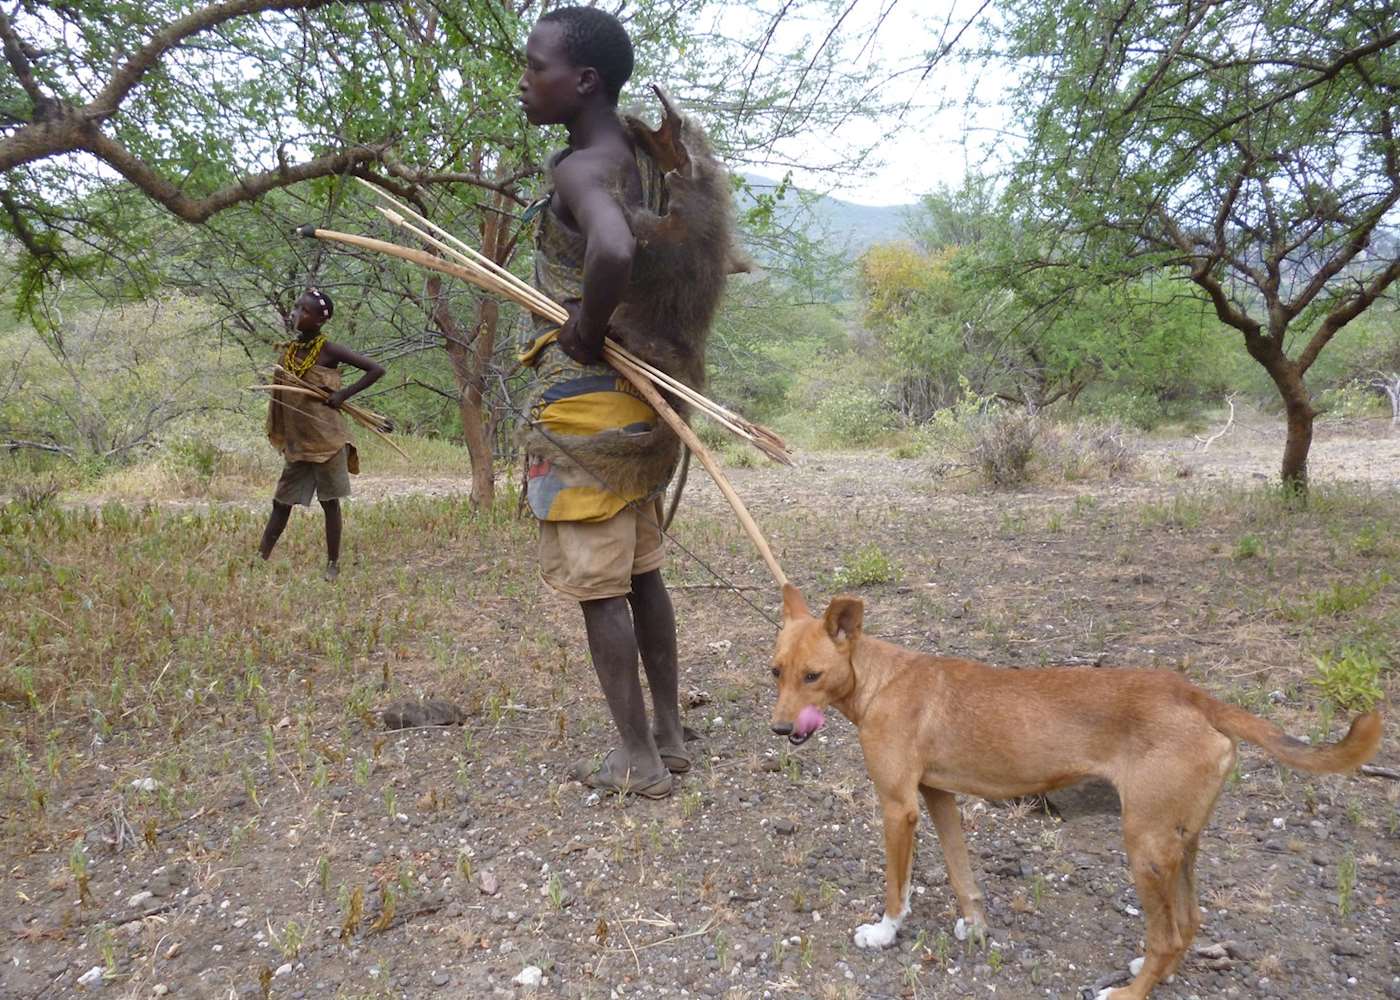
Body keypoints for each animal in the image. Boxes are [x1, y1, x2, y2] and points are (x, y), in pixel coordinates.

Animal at [772, 585, 1383, 997]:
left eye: (813, 676)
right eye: (776, 672)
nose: (779, 730)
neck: (878, 682)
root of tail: (1196, 696)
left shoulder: (898, 808)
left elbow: (897, 889)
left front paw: (884, 933)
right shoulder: (937, 797)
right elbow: (963, 876)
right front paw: (976, 927)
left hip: (1145, 846)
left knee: (1166, 934)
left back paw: (1128, 992)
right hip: (1178, 842)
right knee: (1187, 923)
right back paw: (1150, 972)